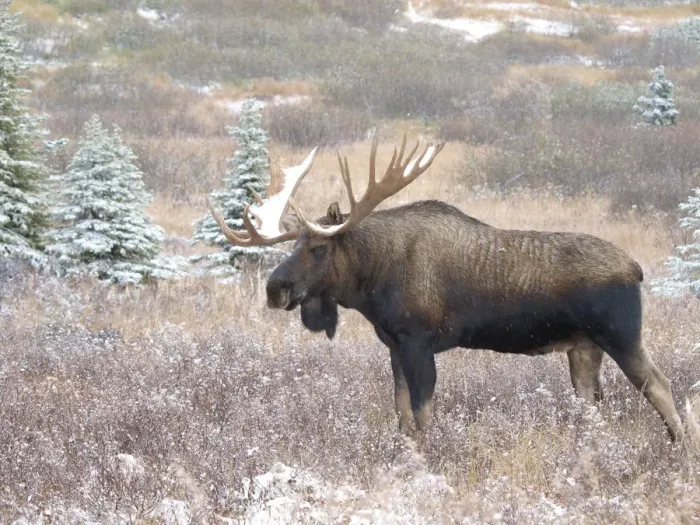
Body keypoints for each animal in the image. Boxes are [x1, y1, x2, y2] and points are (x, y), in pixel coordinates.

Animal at [208, 133, 685, 443]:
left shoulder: (419, 342)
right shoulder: (395, 346)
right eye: (293, 244)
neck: (371, 280)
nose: (275, 289)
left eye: (319, 247)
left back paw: (678, 447)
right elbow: (402, 417)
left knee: (661, 385)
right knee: (592, 405)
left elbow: (423, 416)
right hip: (583, 349)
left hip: (621, 335)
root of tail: (636, 269)